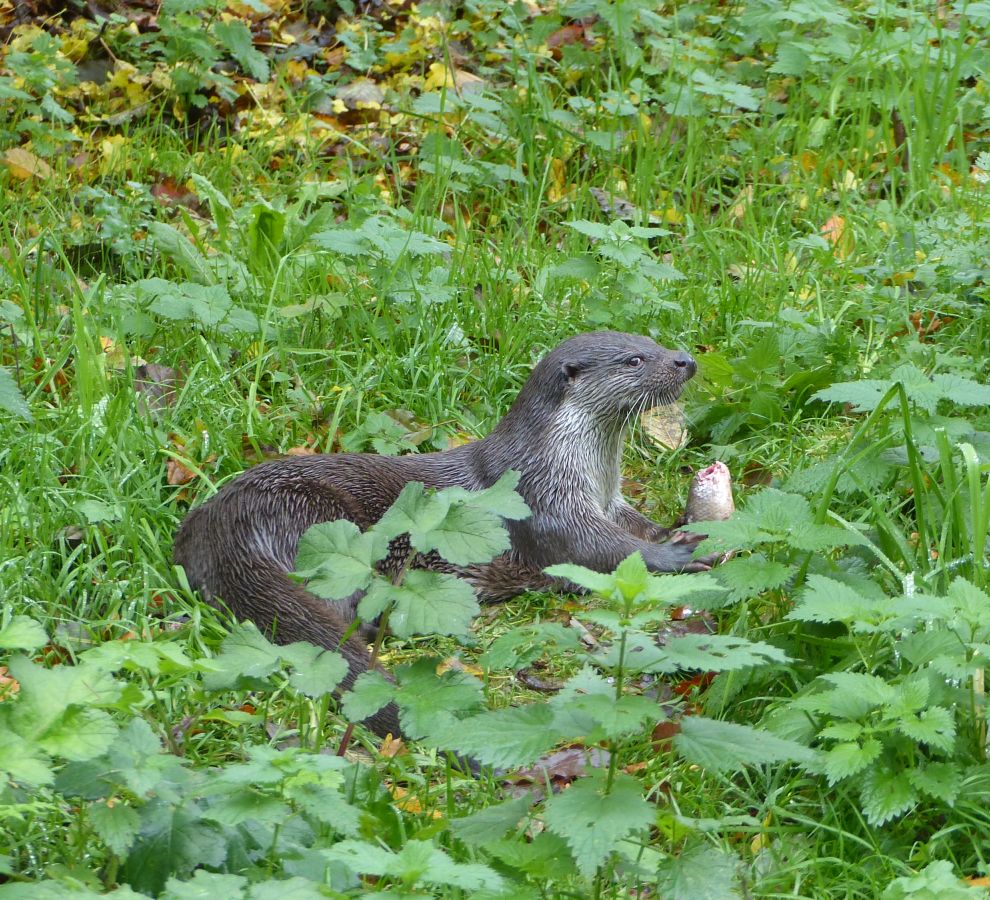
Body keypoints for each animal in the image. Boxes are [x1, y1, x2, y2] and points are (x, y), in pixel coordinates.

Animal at [173, 331, 709, 738]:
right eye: (634, 359)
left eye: (653, 341)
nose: (685, 360)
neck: (578, 468)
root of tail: (226, 525)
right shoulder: (544, 505)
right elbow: (599, 551)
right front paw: (675, 557)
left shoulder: (610, 501)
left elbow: (635, 526)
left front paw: (683, 526)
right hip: (314, 519)